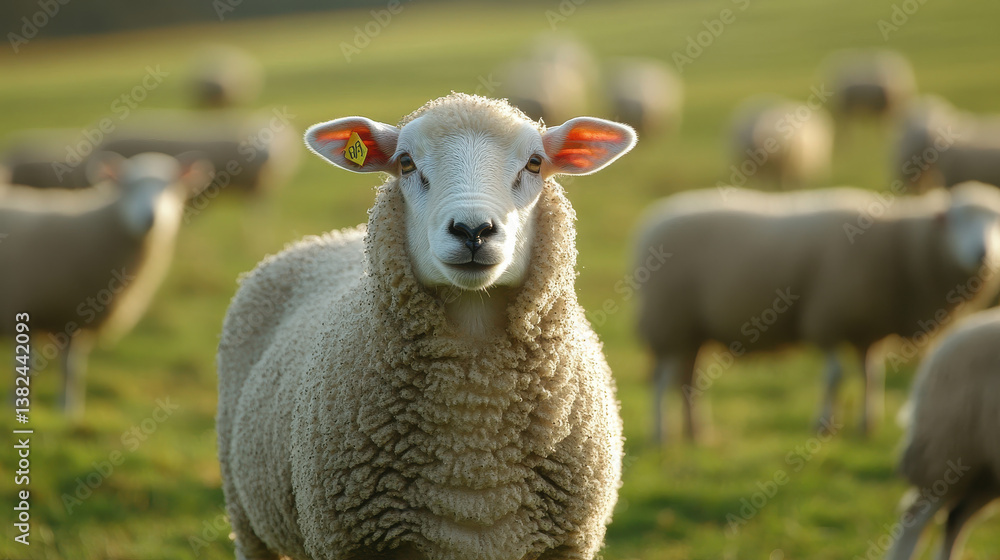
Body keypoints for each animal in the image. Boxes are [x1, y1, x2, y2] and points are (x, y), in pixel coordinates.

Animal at [0, 152, 210, 415]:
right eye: (127, 186)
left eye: (173, 187)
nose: (150, 218)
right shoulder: (24, 309)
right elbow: (24, 367)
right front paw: (17, 406)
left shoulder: (73, 319)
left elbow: (71, 369)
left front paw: (68, 409)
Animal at [634, 182, 1000, 443]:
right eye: (957, 219)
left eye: (996, 222)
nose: (982, 254)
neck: (902, 246)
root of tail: (652, 221)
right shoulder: (827, 320)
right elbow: (835, 376)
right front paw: (823, 426)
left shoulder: (867, 331)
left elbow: (871, 375)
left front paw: (867, 425)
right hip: (667, 322)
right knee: (662, 380)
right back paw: (661, 434)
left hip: (692, 333)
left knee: (687, 380)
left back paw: (696, 433)